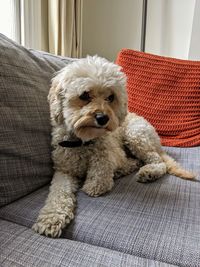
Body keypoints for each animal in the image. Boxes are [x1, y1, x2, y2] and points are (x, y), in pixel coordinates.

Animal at [32, 56, 195, 239]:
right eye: (84, 95)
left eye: (110, 97)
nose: (103, 118)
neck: (83, 141)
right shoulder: (64, 170)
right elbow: (58, 192)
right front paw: (51, 218)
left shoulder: (110, 156)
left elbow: (99, 179)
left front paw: (99, 180)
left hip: (136, 135)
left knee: (157, 161)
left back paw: (148, 172)